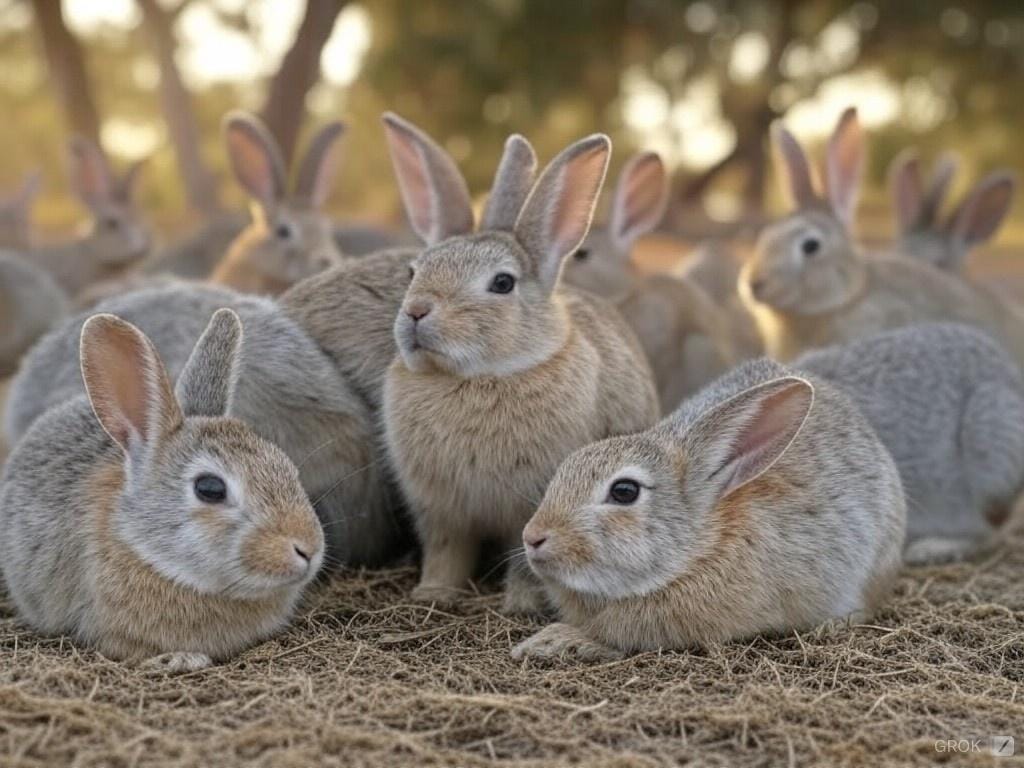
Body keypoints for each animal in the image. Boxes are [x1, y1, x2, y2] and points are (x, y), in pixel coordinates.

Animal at [380, 114, 660, 614]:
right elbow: (446, 552)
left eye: (502, 283)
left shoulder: (531, 504)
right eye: (413, 272)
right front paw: (433, 594)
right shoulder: (441, 511)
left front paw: (521, 604)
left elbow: (525, 555)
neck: (480, 376)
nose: (416, 312)